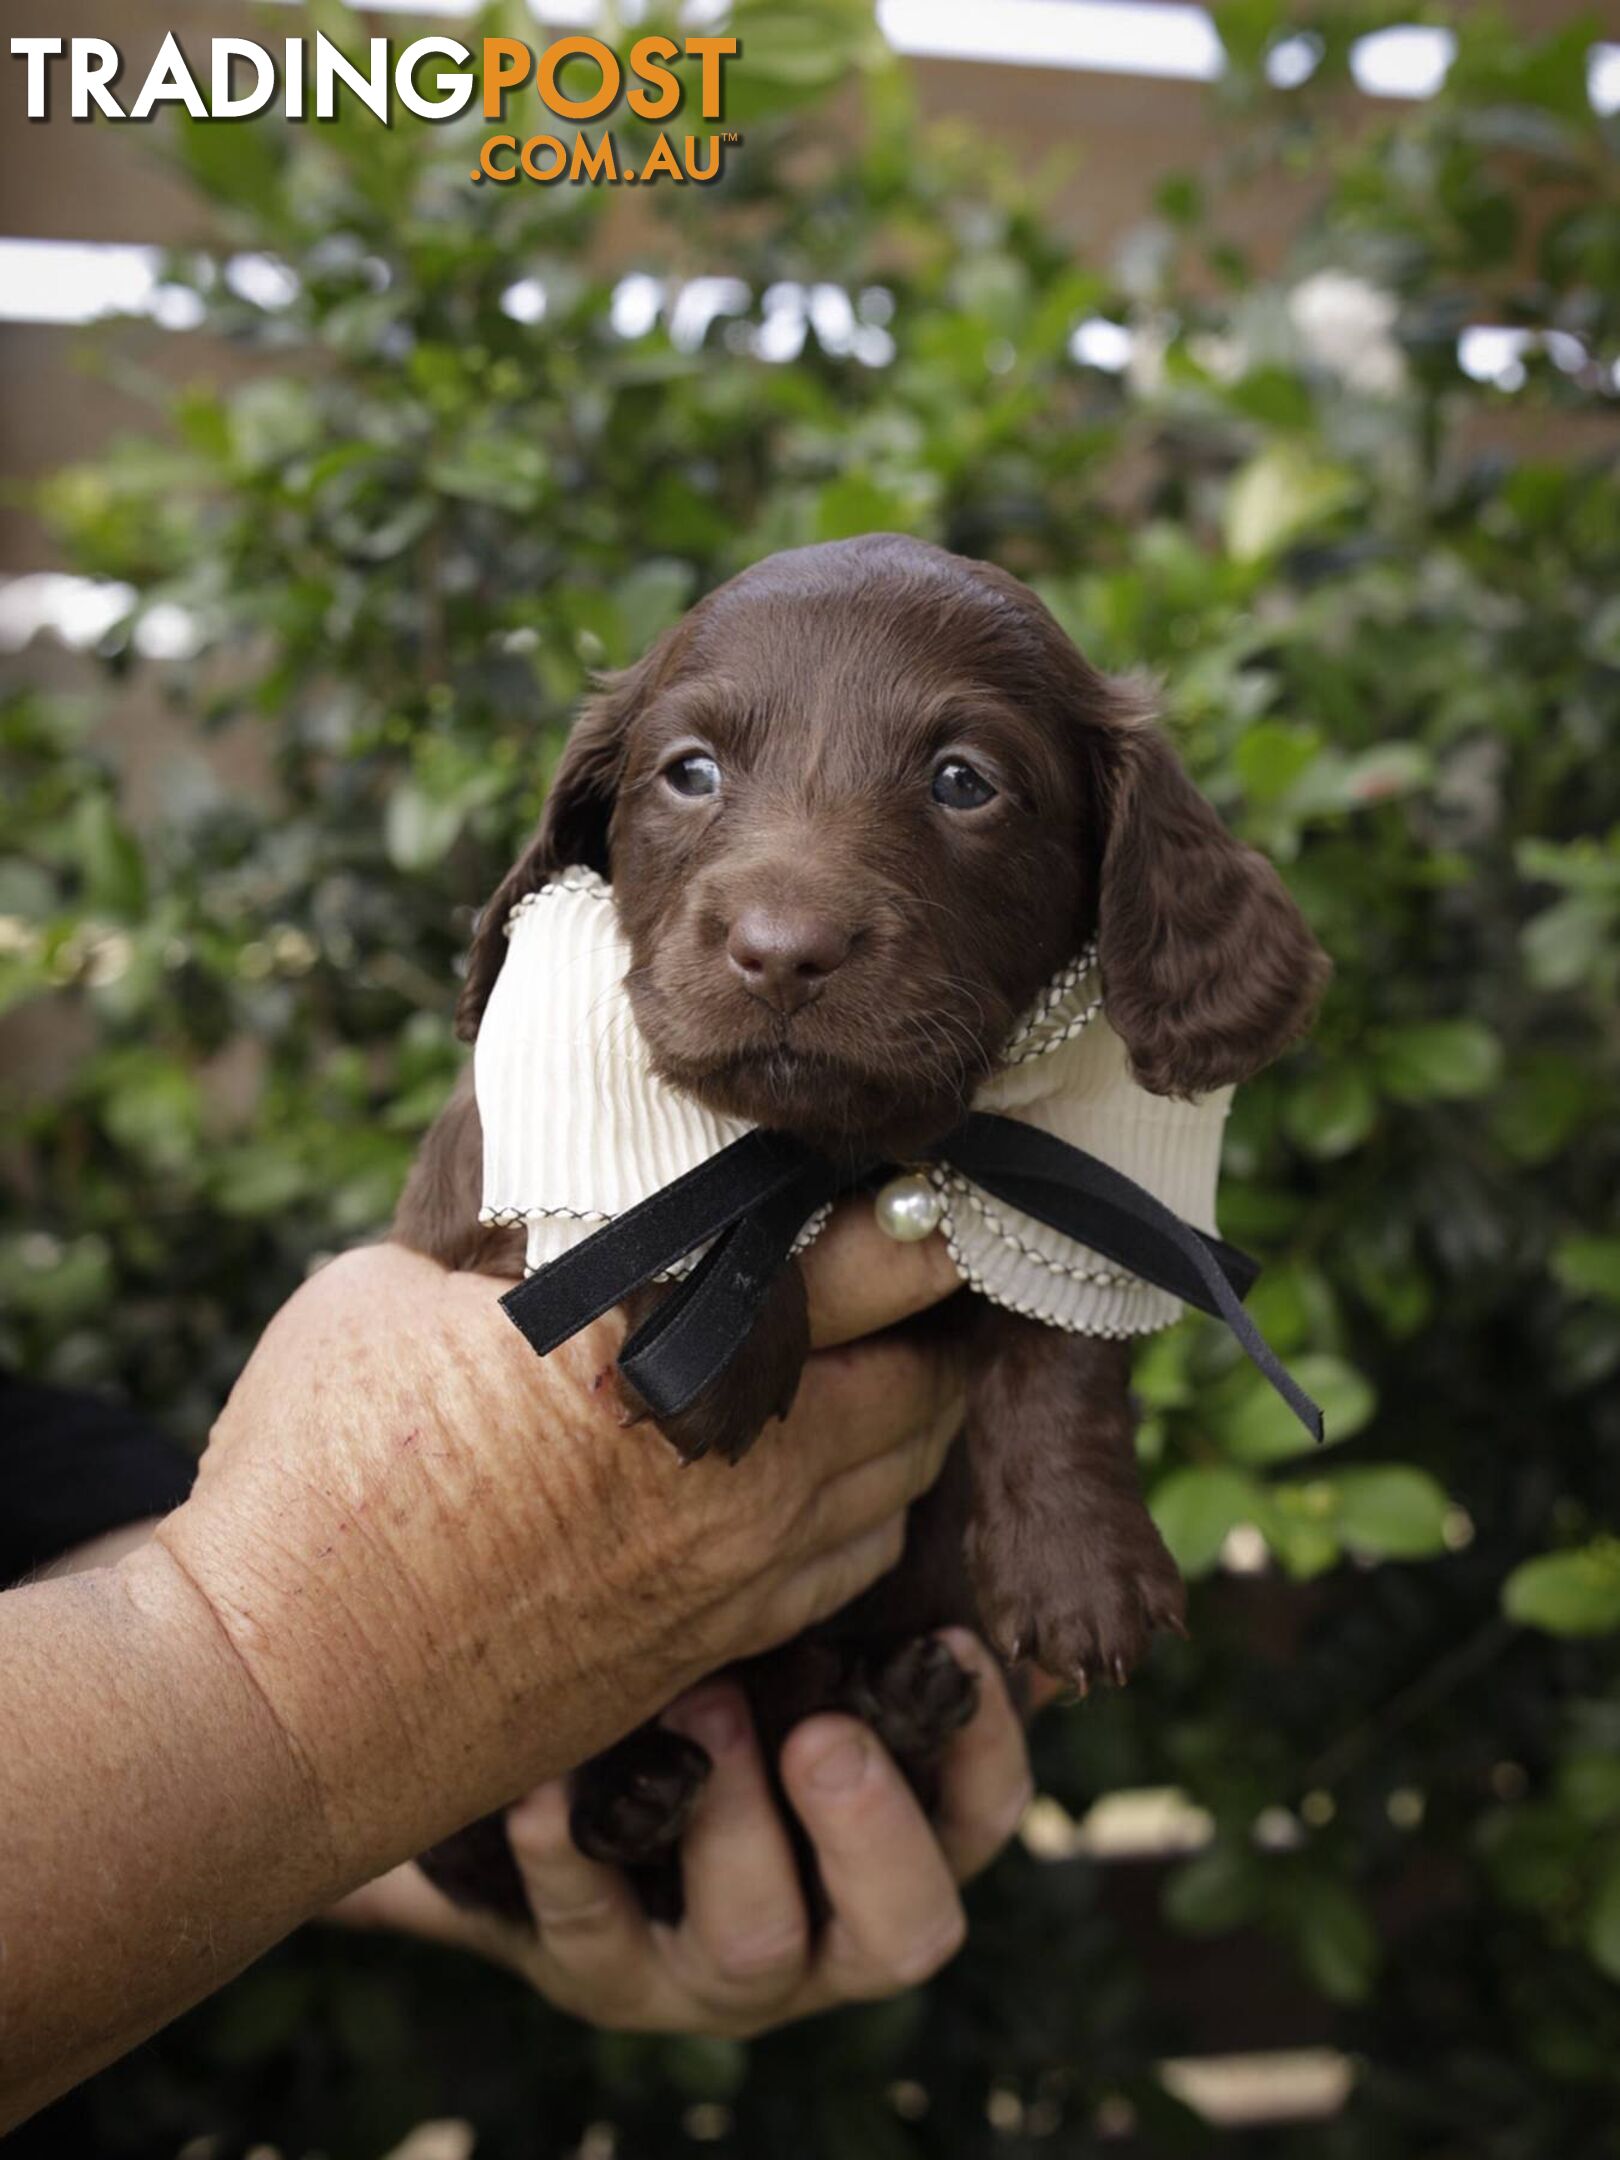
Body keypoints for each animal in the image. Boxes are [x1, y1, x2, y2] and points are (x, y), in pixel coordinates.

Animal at [397, 531, 1330, 1918]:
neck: (850, 1149)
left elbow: (1055, 1348)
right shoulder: (491, 1200)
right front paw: (730, 1339)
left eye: (963, 782)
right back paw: (635, 1796)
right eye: (690, 772)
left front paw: (1082, 1566)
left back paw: (904, 1704)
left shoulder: (1064, 1187)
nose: (784, 952)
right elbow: (670, 1192)